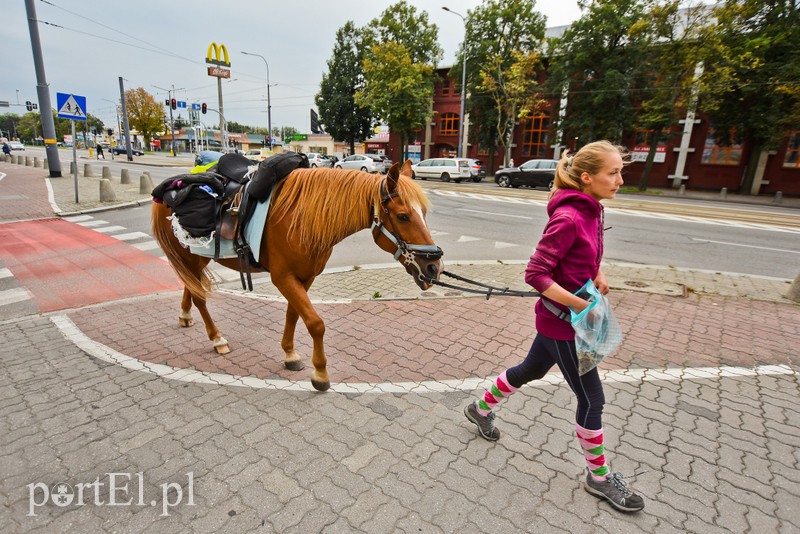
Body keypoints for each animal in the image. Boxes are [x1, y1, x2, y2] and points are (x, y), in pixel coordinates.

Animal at [150, 158, 444, 390]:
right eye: (403, 216)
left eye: (424, 212)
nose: (434, 268)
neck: (300, 216)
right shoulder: (283, 277)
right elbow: (315, 323)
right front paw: (320, 373)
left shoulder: (305, 277)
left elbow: (294, 313)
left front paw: (290, 354)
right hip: (191, 257)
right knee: (200, 296)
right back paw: (216, 338)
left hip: (197, 258)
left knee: (191, 287)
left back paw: (185, 315)